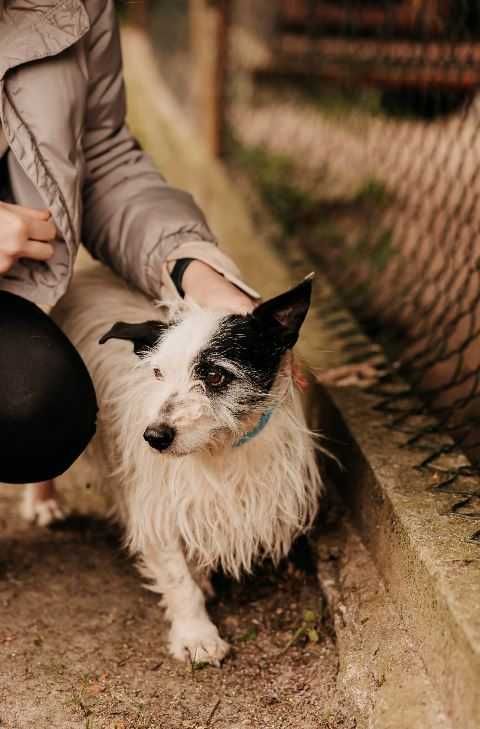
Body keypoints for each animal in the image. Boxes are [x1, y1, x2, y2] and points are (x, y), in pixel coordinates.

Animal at [51, 266, 322, 664]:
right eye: (158, 373)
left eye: (215, 375)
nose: (154, 437)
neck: (219, 452)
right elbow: (179, 580)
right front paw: (196, 634)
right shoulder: (158, 506)